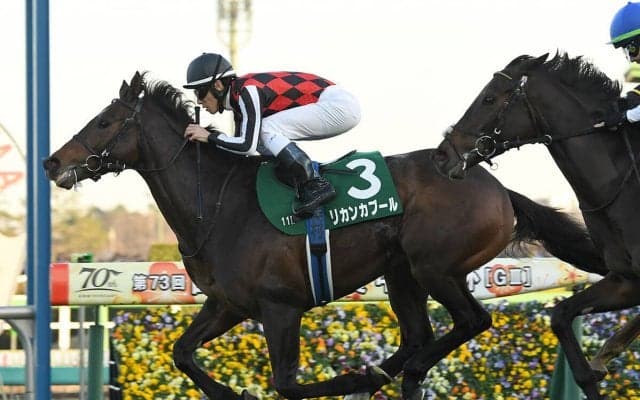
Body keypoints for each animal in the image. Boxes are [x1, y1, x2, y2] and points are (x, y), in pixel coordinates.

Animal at [44, 71, 605, 400]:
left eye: (104, 122)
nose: (52, 162)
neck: (218, 205)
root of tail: (495, 185)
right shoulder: (228, 304)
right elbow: (182, 353)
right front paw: (230, 393)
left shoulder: (280, 307)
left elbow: (286, 384)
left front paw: (345, 379)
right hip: (402, 274)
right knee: (418, 338)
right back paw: (386, 373)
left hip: (437, 268)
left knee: (472, 321)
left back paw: (379, 374)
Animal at [434, 52, 640, 400]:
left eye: (489, 98)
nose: (442, 155)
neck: (621, 188)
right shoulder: (626, 280)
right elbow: (561, 319)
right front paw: (598, 364)